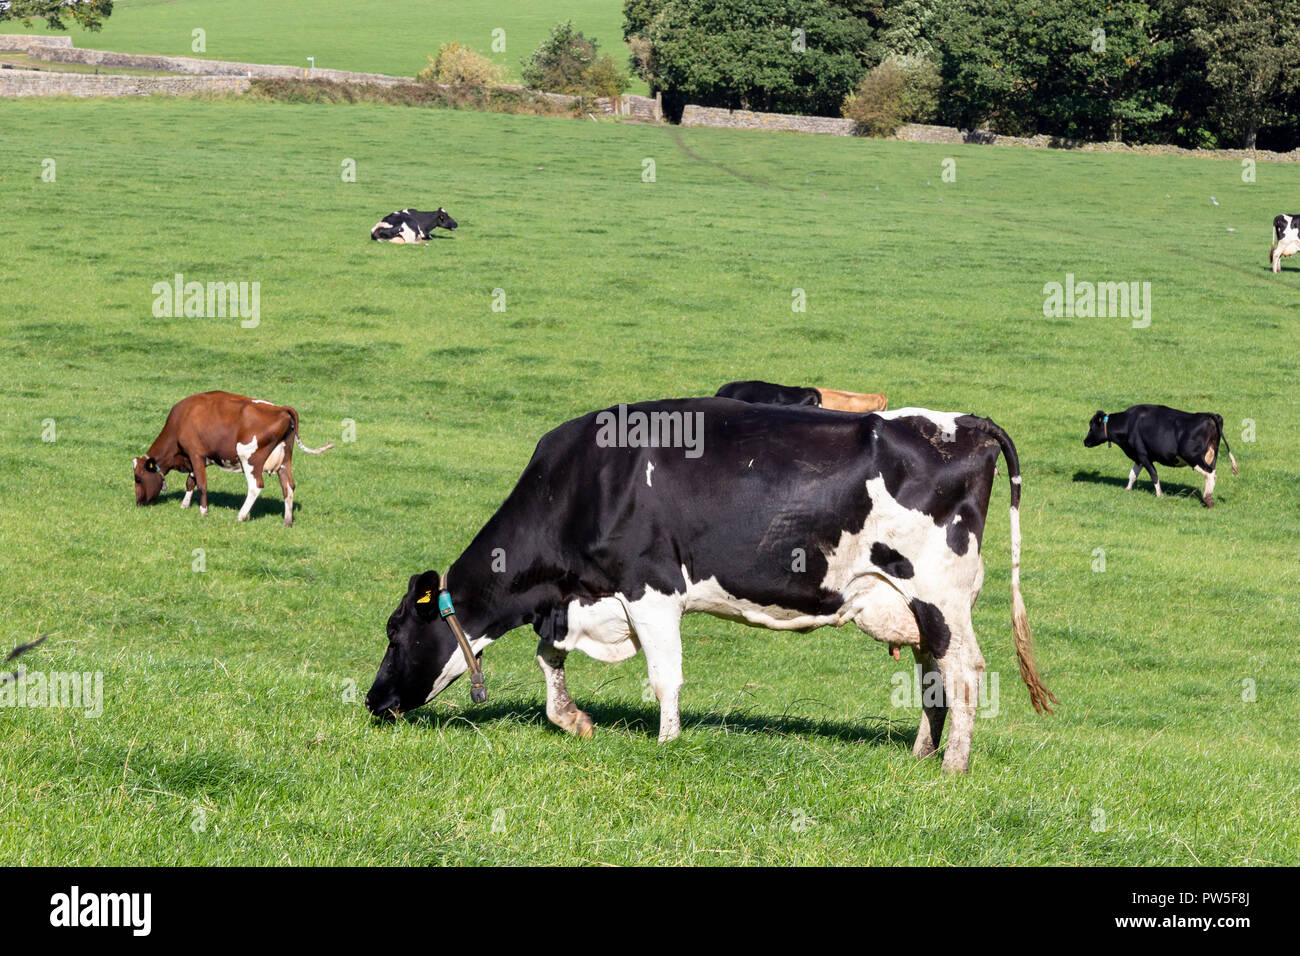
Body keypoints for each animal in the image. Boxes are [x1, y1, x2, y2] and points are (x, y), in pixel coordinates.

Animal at [133, 391, 333, 526]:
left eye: (138, 478)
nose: (139, 503)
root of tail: (281, 409)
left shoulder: (195, 453)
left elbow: (202, 484)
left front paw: (203, 511)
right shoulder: (196, 458)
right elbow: (191, 482)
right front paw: (185, 505)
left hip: (249, 458)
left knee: (256, 486)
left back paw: (241, 516)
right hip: (284, 460)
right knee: (288, 487)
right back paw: (287, 521)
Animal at [365, 399, 1055, 774]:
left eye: (395, 631)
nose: (373, 700)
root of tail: (967, 423)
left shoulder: (650, 586)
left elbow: (664, 676)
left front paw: (667, 744)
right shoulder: (581, 598)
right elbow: (549, 657)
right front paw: (575, 720)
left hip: (939, 594)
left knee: (963, 671)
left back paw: (954, 765)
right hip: (913, 602)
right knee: (933, 674)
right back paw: (920, 756)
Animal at [1083, 404, 1238, 507]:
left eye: (1091, 426)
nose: (1085, 441)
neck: (1129, 423)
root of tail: (1208, 415)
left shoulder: (1143, 455)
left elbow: (1154, 474)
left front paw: (1159, 494)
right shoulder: (1138, 457)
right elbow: (1132, 475)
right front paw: (1127, 489)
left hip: (1193, 456)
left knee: (1209, 473)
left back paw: (1208, 500)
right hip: (1212, 455)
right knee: (1213, 473)